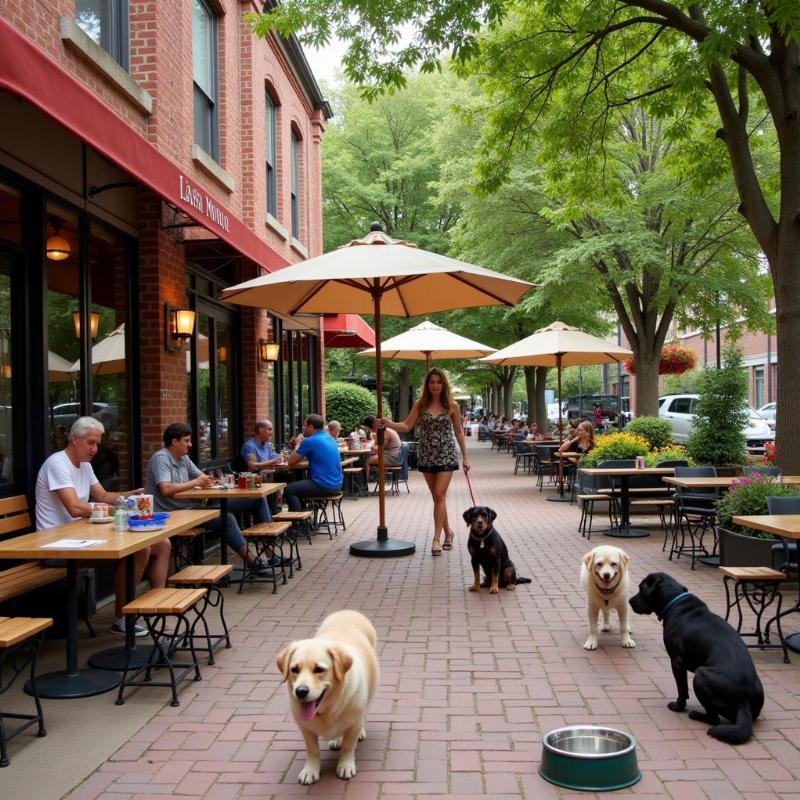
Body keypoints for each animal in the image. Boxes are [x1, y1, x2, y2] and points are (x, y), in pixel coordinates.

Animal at [276, 608, 380, 784]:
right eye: (294, 669)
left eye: (319, 669)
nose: (300, 691)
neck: (327, 709)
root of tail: (348, 611)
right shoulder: (305, 728)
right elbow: (312, 750)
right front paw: (310, 770)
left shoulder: (353, 723)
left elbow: (348, 746)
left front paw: (345, 765)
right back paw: (336, 739)